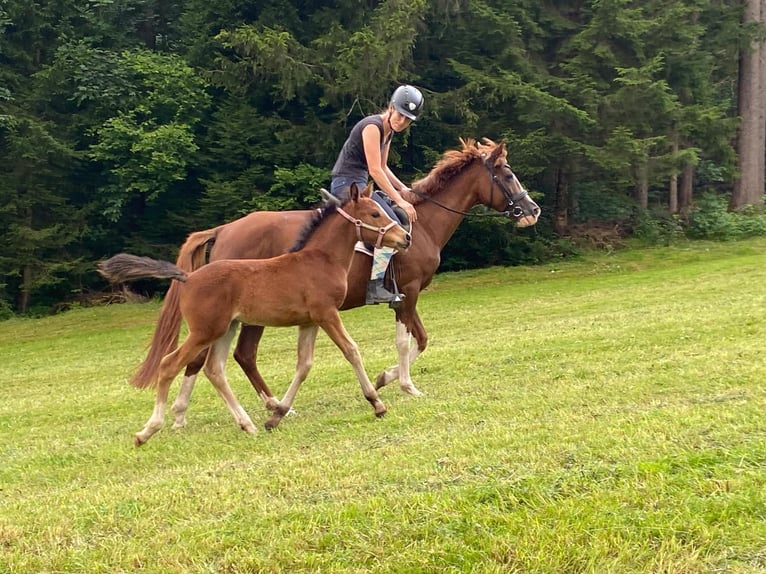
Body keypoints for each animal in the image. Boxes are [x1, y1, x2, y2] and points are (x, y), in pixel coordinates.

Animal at [104, 184, 414, 446]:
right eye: (374, 213)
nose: (406, 238)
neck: (319, 260)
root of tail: (187, 277)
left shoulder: (310, 321)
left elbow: (304, 364)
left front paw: (277, 415)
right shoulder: (326, 314)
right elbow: (351, 350)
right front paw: (377, 403)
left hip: (226, 328)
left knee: (214, 369)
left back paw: (247, 424)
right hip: (206, 331)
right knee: (170, 364)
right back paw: (148, 430)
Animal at [158, 138, 540, 428]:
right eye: (507, 174)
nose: (532, 210)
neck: (423, 224)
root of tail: (224, 229)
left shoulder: (403, 297)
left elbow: (420, 339)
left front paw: (384, 379)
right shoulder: (407, 293)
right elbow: (407, 342)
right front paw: (403, 384)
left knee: (228, 357)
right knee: (227, 356)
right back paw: (201, 412)